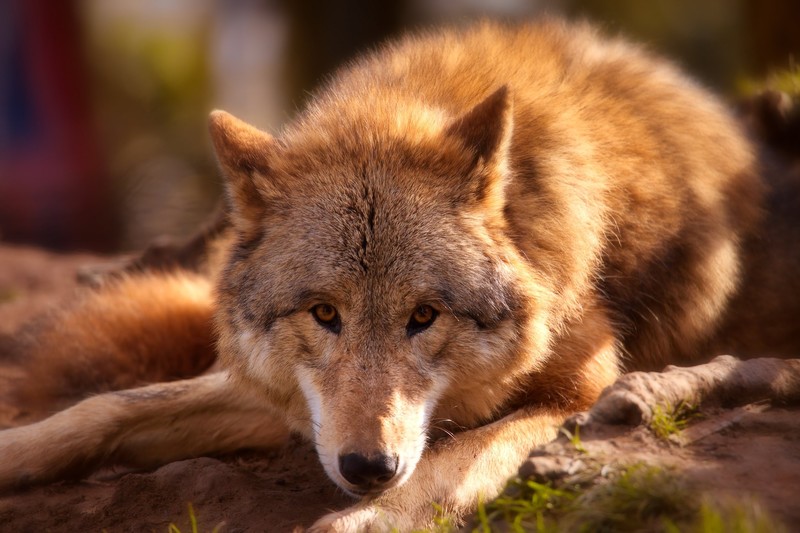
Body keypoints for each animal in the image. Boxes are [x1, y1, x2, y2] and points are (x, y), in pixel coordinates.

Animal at [1, 19, 799, 532]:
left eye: (424, 316)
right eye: (325, 313)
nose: (367, 466)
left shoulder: (584, 389)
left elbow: (450, 465)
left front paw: (368, 514)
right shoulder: (292, 402)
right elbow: (106, 408)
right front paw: (15, 452)